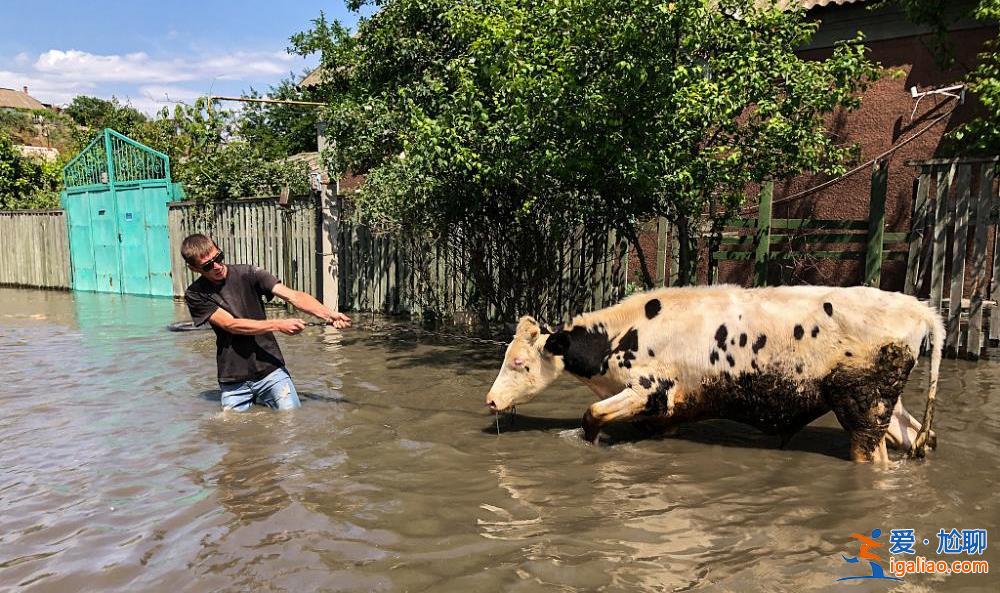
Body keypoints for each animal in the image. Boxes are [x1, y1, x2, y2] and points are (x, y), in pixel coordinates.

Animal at [488, 284, 940, 460]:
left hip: (863, 410)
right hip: (887, 408)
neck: (623, 334)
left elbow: (591, 416)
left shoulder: (650, 390)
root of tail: (919, 308)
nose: (491, 400)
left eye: (520, 363)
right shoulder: (667, 413)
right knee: (923, 437)